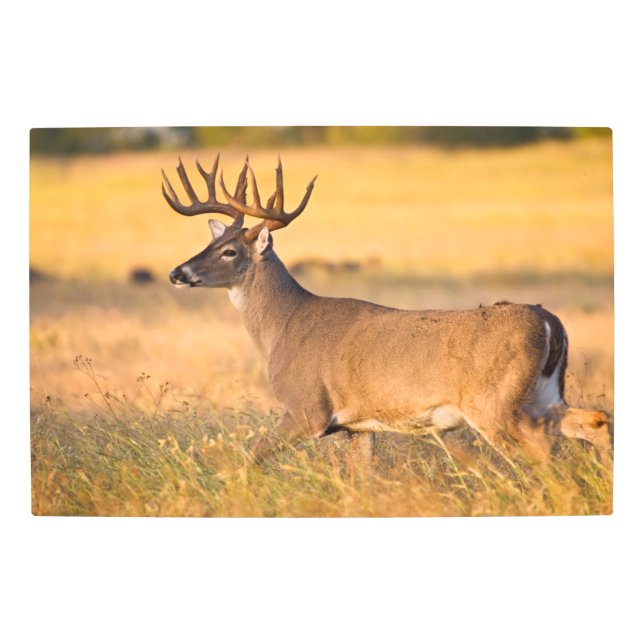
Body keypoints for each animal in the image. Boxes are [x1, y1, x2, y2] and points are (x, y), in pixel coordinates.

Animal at [162, 153, 611, 461]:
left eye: (230, 251)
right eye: (210, 242)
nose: (177, 272)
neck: (284, 327)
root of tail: (551, 321)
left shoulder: (307, 408)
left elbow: (251, 457)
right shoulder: (358, 427)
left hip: (494, 402)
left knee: (539, 446)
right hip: (543, 393)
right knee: (595, 419)